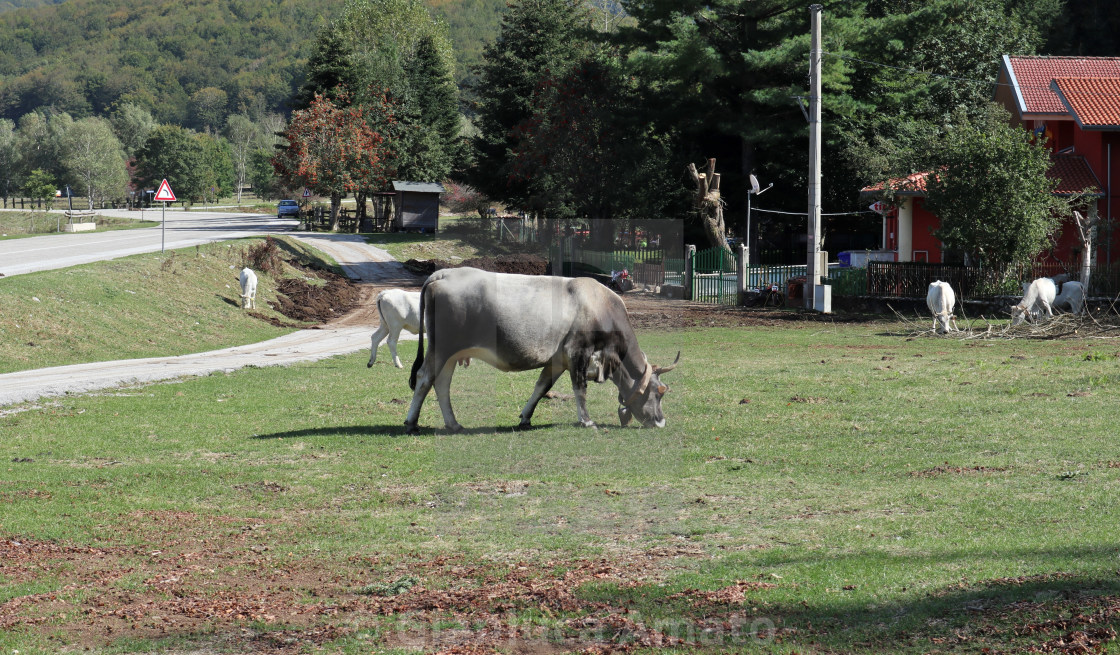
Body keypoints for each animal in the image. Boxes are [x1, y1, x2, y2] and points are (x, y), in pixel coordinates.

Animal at [407, 265, 676, 434]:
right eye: (659, 391)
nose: (661, 422)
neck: (601, 305)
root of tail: (444, 273)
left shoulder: (558, 360)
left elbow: (541, 387)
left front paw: (525, 417)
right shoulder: (578, 353)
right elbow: (580, 389)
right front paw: (587, 421)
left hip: (451, 354)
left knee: (442, 383)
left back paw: (453, 424)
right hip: (442, 347)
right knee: (424, 378)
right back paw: (411, 423)